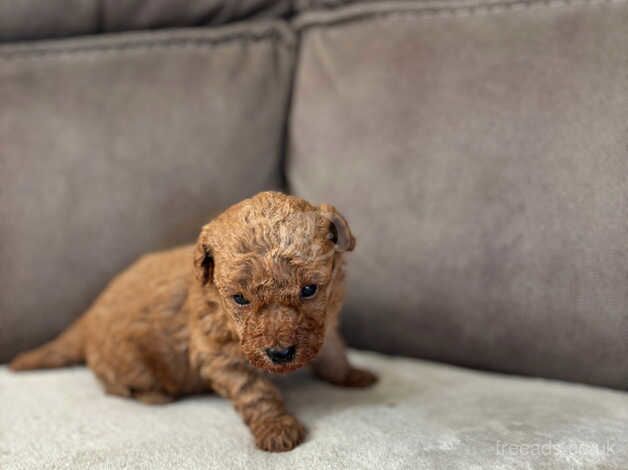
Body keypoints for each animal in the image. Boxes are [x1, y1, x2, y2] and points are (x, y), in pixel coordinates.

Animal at [9, 191, 376, 452]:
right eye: (240, 299)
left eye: (309, 289)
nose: (280, 353)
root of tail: (87, 316)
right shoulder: (218, 355)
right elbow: (255, 391)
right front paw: (277, 429)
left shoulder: (325, 320)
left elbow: (332, 350)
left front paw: (351, 374)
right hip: (128, 363)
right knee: (116, 384)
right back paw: (153, 396)